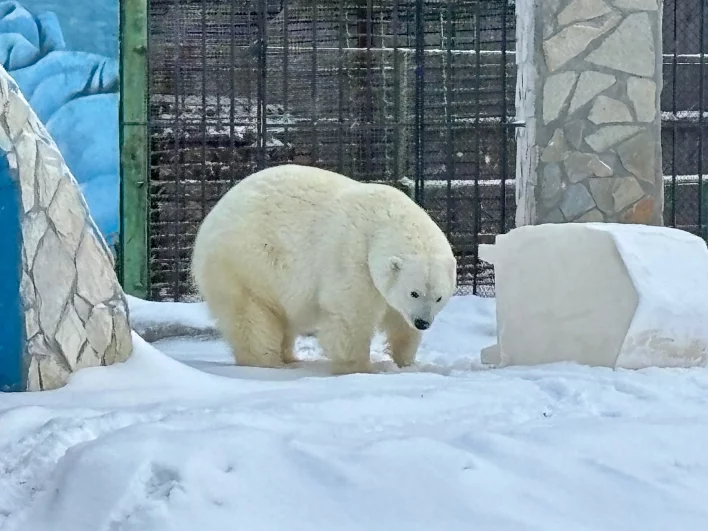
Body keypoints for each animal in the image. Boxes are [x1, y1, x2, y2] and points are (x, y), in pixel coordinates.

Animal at [191, 163, 456, 374]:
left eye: (438, 297)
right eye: (414, 292)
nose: (423, 322)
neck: (382, 223)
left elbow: (400, 322)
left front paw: (407, 363)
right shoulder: (351, 258)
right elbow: (351, 316)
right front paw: (359, 368)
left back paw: (289, 357)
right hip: (245, 265)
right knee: (251, 317)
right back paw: (267, 362)